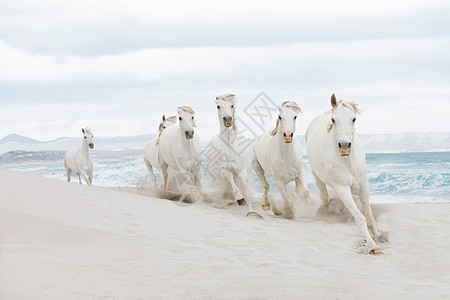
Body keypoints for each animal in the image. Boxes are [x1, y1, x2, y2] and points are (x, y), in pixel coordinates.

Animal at [304, 94, 382, 255]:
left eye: (354, 119)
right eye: (334, 120)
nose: (345, 146)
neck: (347, 162)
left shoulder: (363, 186)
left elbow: (369, 216)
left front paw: (378, 236)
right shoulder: (342, 188)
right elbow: (360, 218)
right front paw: (372, 245)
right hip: (319, 179)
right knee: (324, 196)